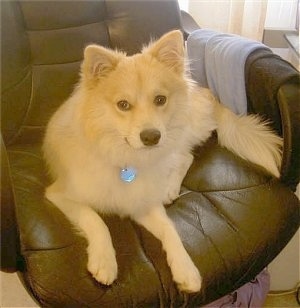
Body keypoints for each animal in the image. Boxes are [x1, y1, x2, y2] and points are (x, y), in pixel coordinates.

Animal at [43, 30, 282, 292]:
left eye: (160, 99)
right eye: (123, 105)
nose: (151, 137)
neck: (126, 160)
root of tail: (205, 92)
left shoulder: (144, 202)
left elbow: (170, 228)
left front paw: (186, 268)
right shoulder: (61, 195)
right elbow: (96, 221)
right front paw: (105, 261)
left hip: (175, 136)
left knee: (184, 156)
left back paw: (169, 188)